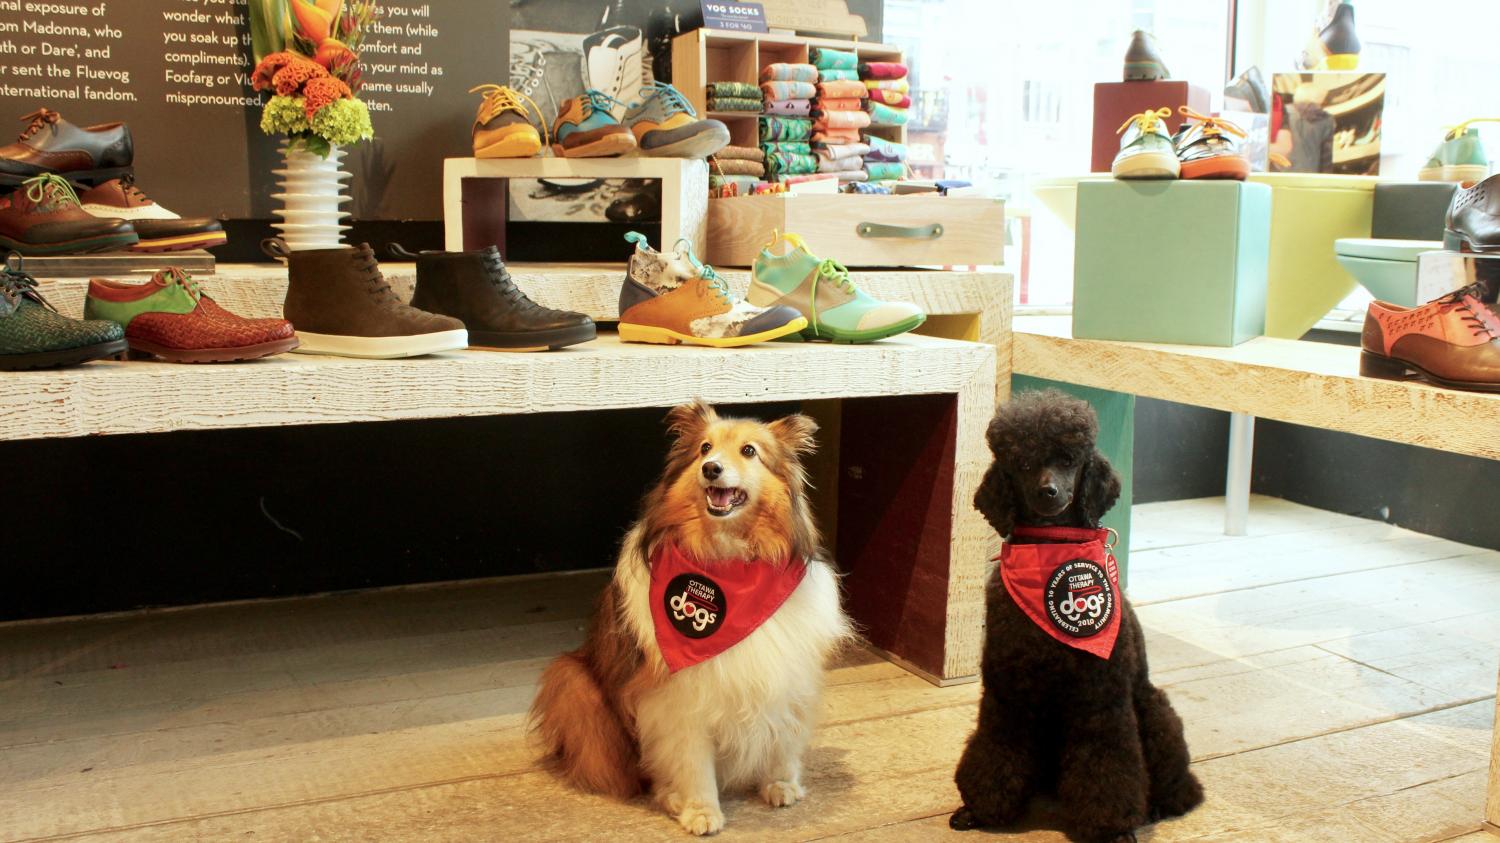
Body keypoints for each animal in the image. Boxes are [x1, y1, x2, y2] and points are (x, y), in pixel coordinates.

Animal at [529, 400, 851, 836]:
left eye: (749, 451)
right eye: (703, 448)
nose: (711, 468)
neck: (729, 560)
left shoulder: (785, 678)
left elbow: (782, 739)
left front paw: (781, 784)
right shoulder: (681, 701)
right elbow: (692, 763)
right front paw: (700, 810)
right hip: (572, 681)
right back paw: (668, 795)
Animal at [951, 390, 1202, 843]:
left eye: (1069, 458)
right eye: (1023, 463)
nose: (1048, 492)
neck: (1051, 551)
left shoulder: (1101, 700)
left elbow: (1106, 766)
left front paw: (1110, 827)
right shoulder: (1006, 693)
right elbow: (995, 748)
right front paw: (980, 808)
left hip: (1155, 711)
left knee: (1182, 787)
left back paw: (1160, 803)